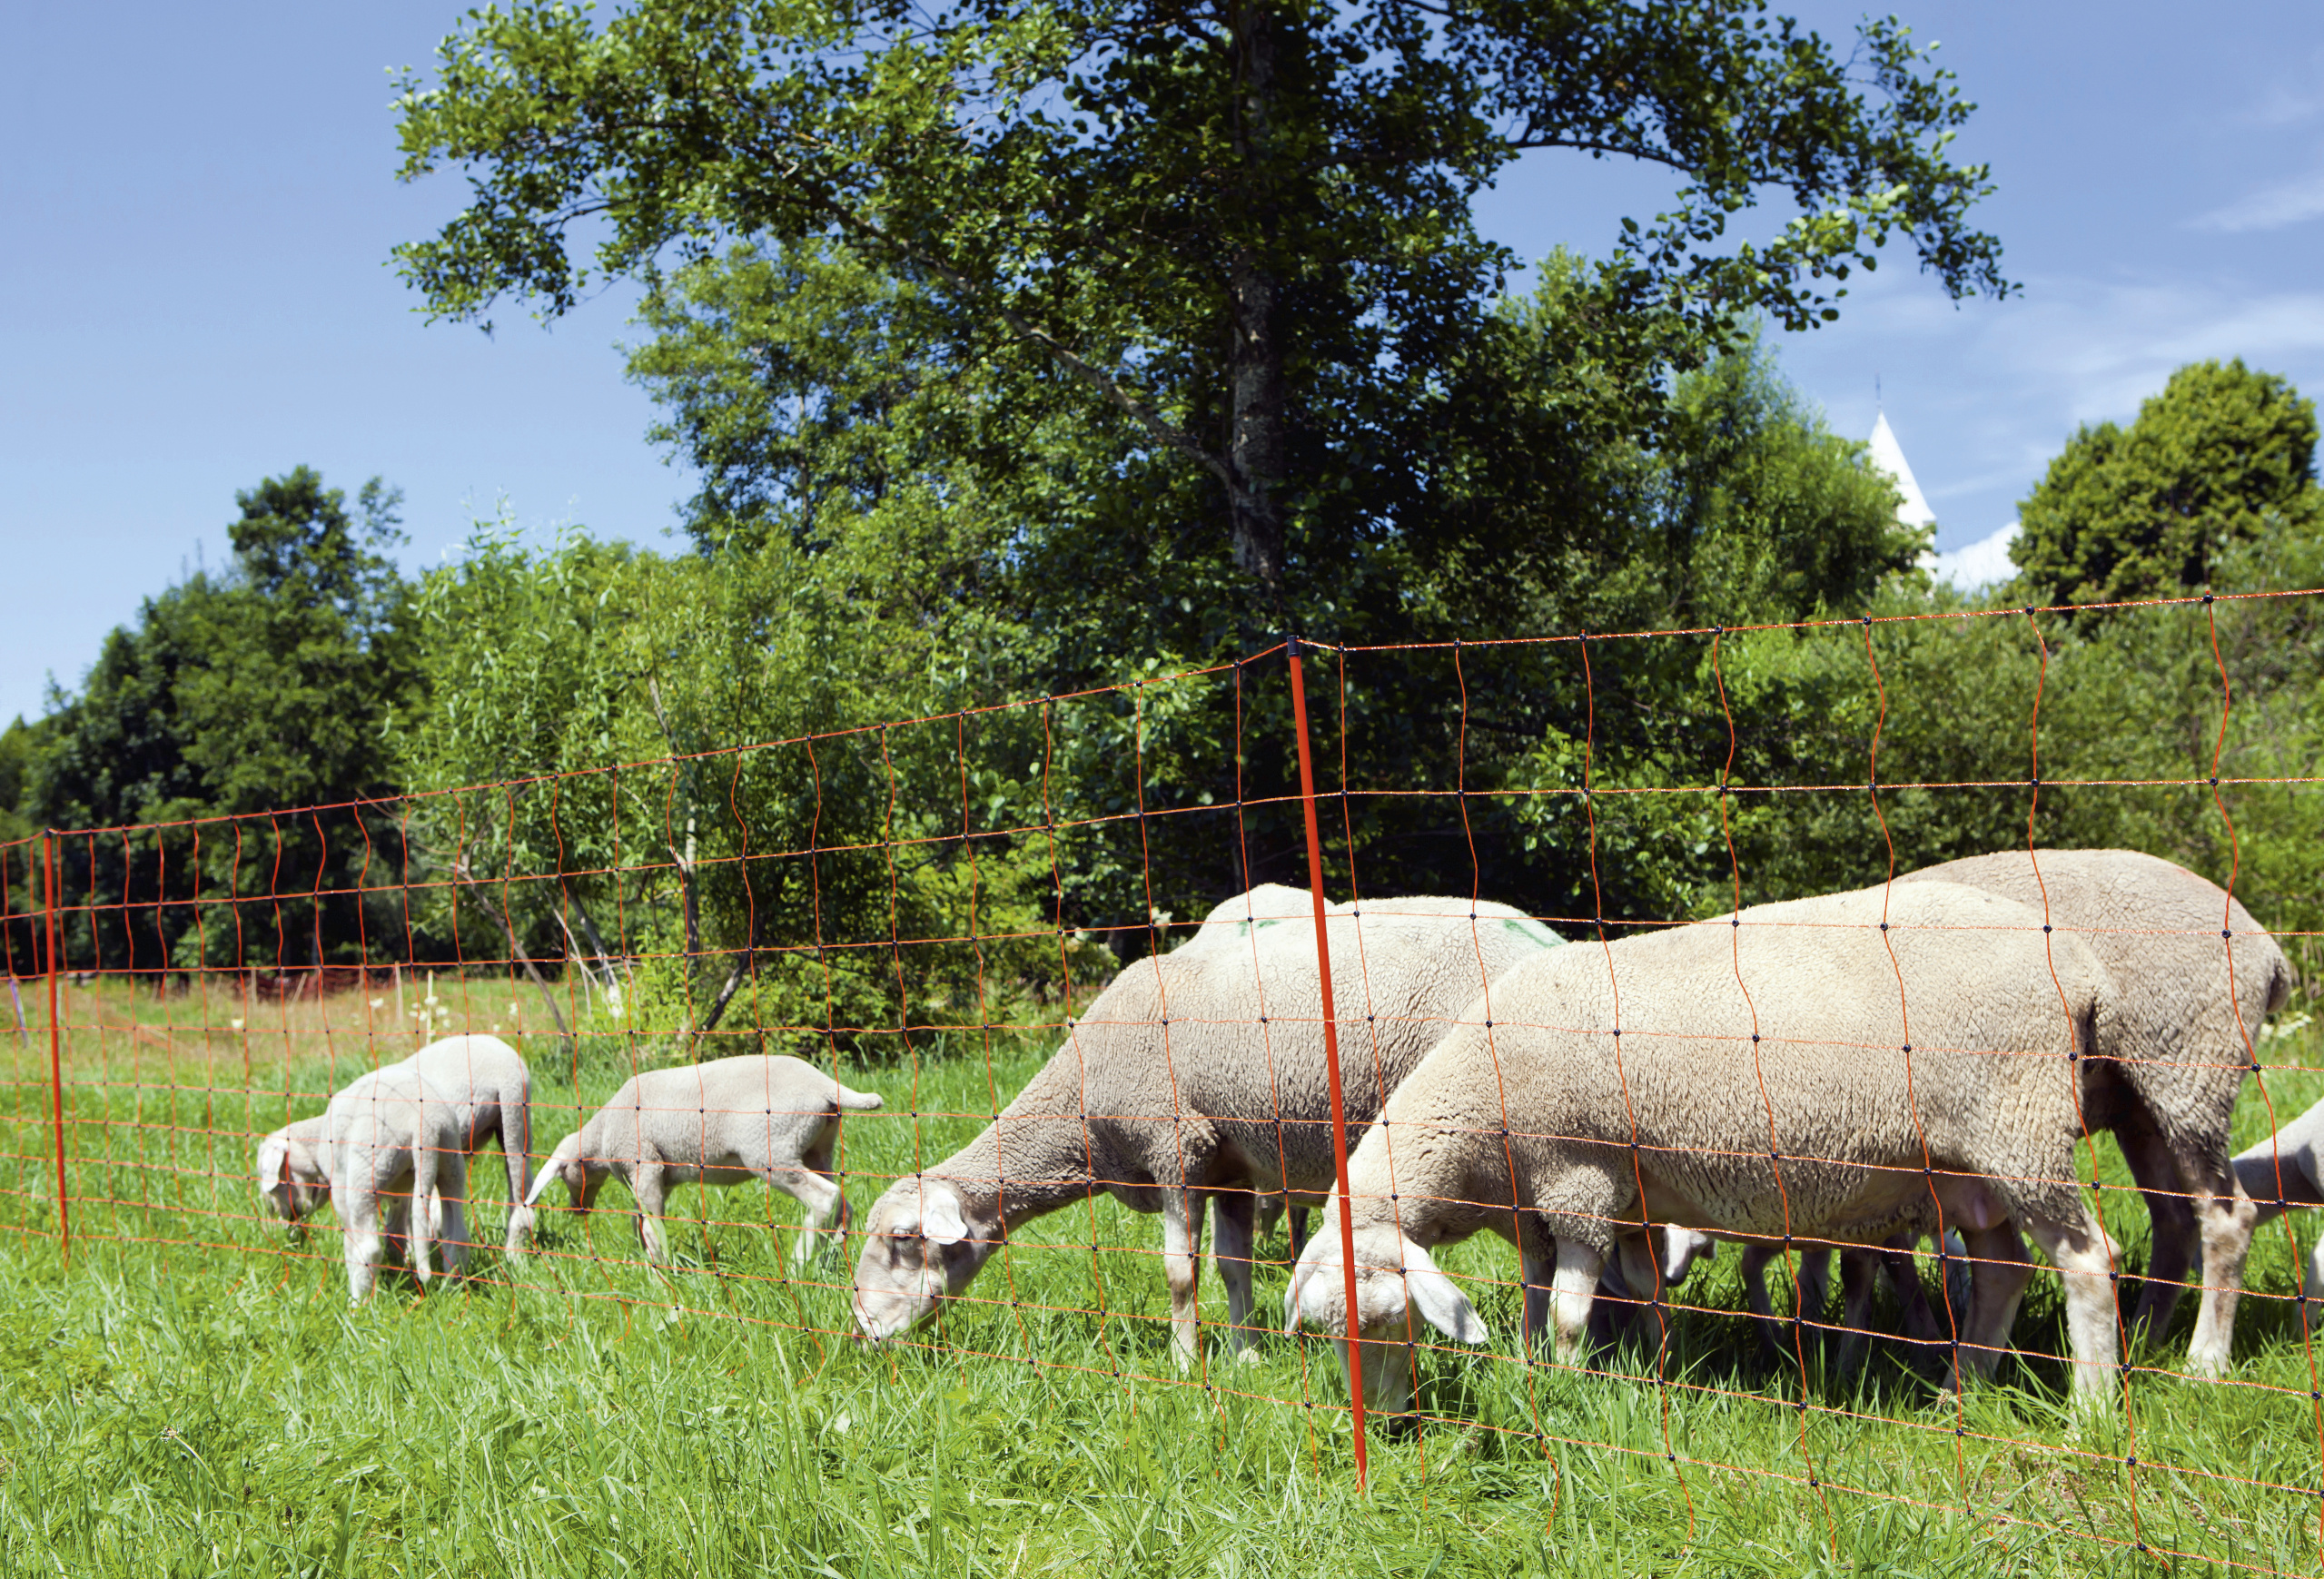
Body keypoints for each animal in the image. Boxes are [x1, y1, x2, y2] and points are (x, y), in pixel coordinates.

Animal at [525, 1054, 878, 1263]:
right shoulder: (660, 1176)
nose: (577, 1209)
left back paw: (799, 1262)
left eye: (565, 1173)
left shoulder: (645, 1164)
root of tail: (825, 1085)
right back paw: (831, 1257)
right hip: (817, 1148)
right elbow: (642, 1220)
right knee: (844, 1205)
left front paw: (661, 1269)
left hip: (770, 1151)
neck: (601, 1135)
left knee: (824, 1197)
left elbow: (652, 1226)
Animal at [855, 882, 1580, 1365]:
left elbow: (1181, 1271)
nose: (862, 1329)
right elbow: (1233, 1264)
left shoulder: (1178, 1145)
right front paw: (1245, 1353)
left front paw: (1185, 1362)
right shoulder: (1232, 1165)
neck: (1082, 1109)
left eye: (902, 1238)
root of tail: (1554, 938)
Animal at [1291, 882, 2129, 1421]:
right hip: (1966, 1166)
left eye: (1392, 1321)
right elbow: (1606, 1296)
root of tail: (2082, 967)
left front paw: (1563, 1389)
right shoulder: (1581, 1203)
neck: (1474, 1106)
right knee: (2003, 1268)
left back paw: (2087, 1413)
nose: (1384, 1426)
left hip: (2018, 1122)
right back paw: (1963, 1387)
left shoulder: (1579, 1181)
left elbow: (1566, 1313)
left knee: (2087, 1261)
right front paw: (1644, 1364)